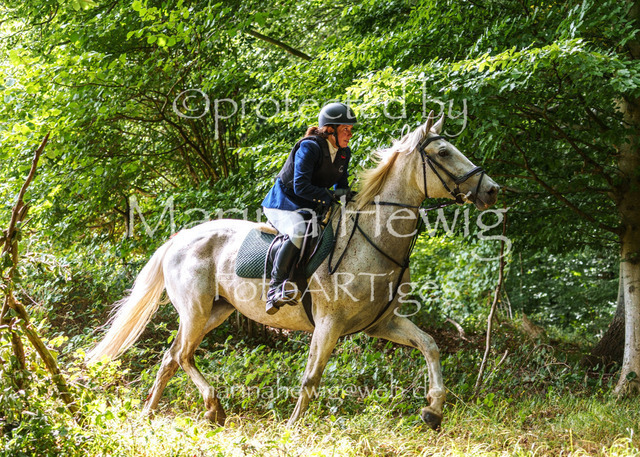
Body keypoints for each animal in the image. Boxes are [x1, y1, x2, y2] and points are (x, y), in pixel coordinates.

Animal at [87, 113, 499, 430]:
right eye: (443, 152)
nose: (492, 190)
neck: (376, 237)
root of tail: (179, 238)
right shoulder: (329, 324)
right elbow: (311, 378)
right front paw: (294, 427)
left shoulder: (382, 322)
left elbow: (429, 345)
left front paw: (433, 410)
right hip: (196, 309)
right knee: (184, 356)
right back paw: (212, 407)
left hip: (217, 311)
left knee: (171, 358)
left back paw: (150, 412)